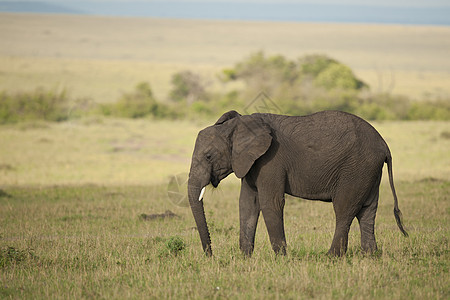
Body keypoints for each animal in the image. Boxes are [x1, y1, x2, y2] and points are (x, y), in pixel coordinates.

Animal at [187, 110, 408, 255]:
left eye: (208, 156)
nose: (210, 255)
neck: (238, 125)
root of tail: (384, 145)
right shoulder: (249, 162)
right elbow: (247, 204)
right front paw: (245, 258)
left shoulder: (271, 160)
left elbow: (270, 203)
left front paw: (281, 258)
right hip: (369, 171)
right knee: (368, 211)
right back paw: (370, 256)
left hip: (356, 169)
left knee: (344, 209)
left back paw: (331, 257)